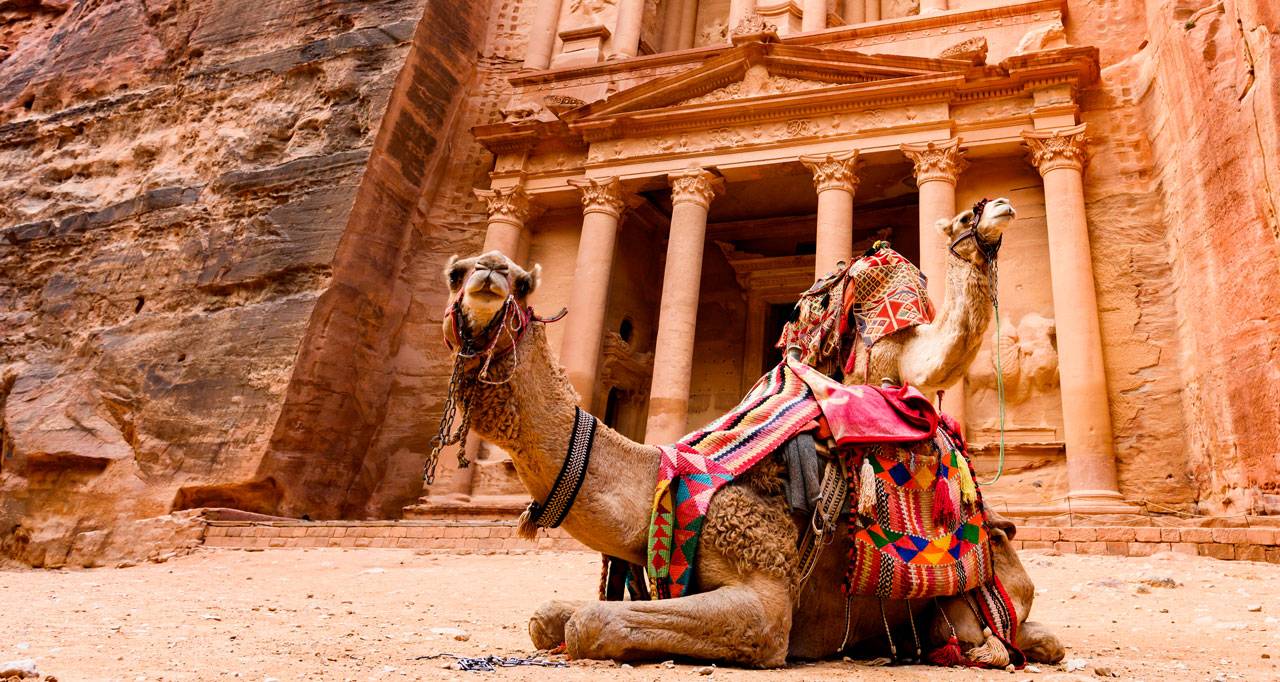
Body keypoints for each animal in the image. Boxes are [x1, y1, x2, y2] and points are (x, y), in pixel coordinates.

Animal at [435, 197, 1064, 665]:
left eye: (522, 283)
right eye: (454, 272)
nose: (491, 271)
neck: (662, 481)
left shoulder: (766, 597)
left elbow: (592, 622)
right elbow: (548, 619)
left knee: (1016, 634)